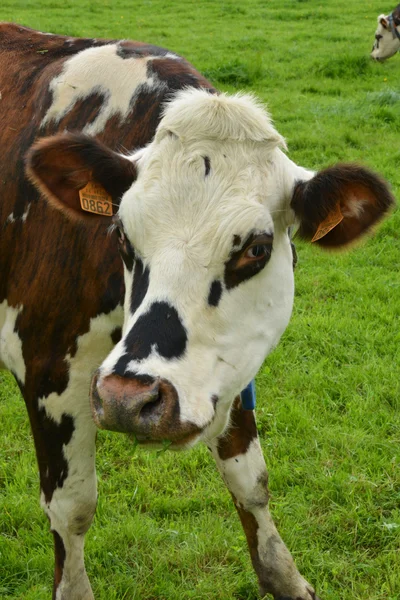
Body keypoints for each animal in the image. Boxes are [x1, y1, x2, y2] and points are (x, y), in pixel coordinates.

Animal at [0, 22, 394, 600]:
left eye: (256, 248)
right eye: (122, 235)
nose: (127, 399)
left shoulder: (228, 368)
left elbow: (251, 480)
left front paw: (284, 577)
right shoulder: (48, 370)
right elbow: (71, 509)